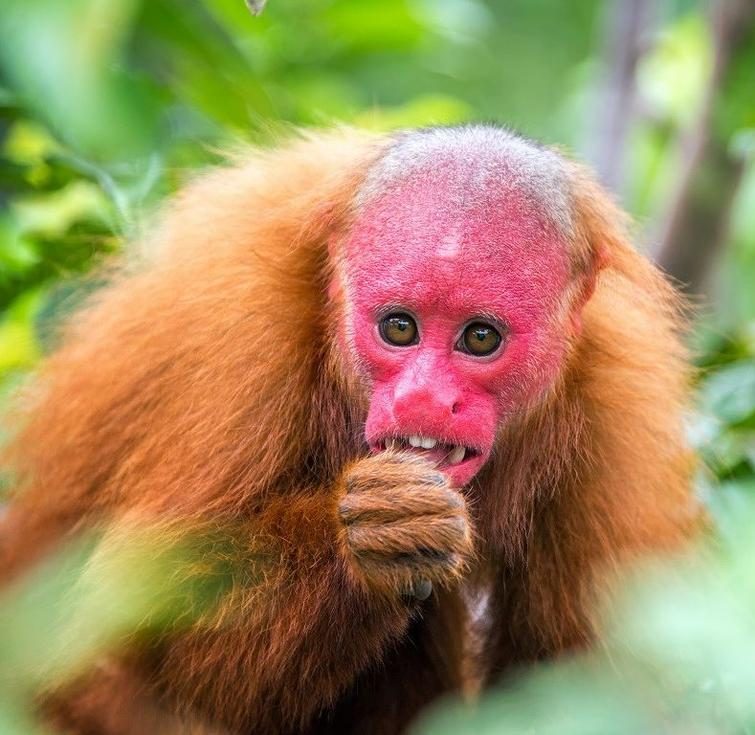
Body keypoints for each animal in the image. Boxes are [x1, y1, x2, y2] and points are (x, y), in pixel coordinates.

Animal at [0, 126, 696, 735]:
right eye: (399, 327)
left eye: (480, 338)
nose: (423, 398)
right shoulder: (236, 342)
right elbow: (129, 643)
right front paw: (369, 536)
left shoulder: (615, 406)